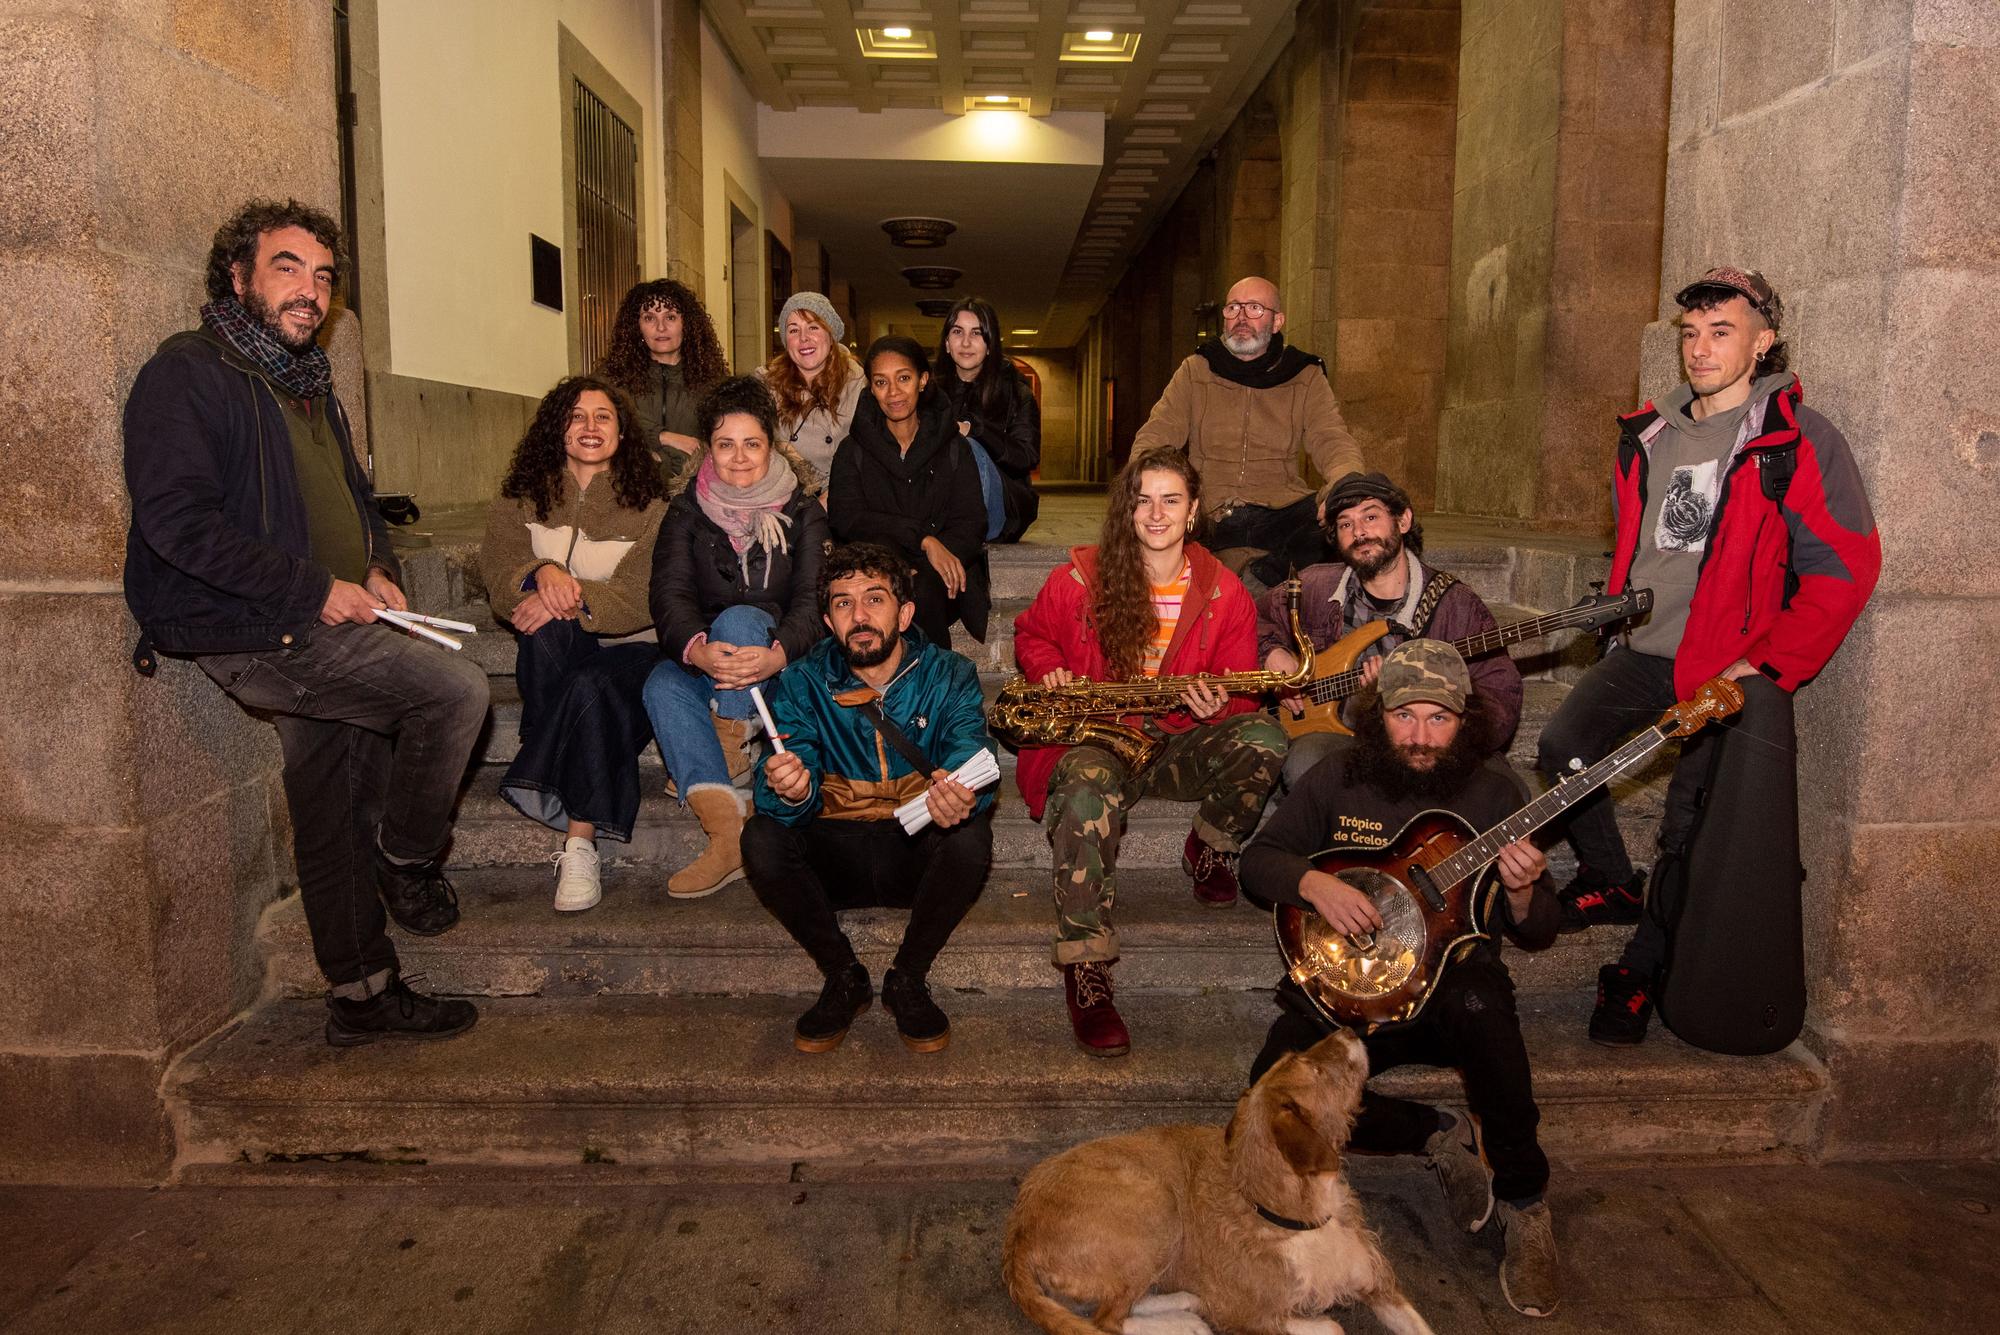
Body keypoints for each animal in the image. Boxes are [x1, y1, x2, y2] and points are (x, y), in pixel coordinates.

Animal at [996, 1031, 1424, 1327]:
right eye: (1315, 1069)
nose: (1350, 1030)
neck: (1292, 1211)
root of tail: (1018, 1234)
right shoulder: (1250, 1315)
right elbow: (1331, 1326)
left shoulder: (1379, 1285)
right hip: (1159, 1206)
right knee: (1107, 1321)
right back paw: (1184, 1323)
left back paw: (1186, 1304)